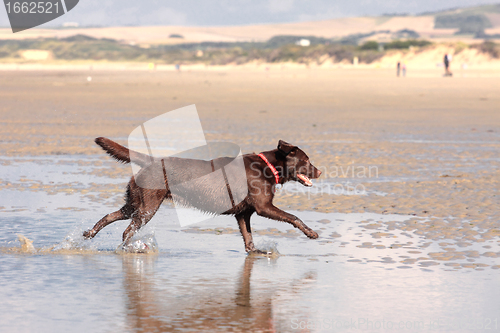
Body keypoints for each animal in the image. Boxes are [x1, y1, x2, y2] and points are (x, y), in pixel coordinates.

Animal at [83, 137, 320, 252]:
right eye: (306, 160)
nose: (319, 171)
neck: (268, 167)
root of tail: (151, 161)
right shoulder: (263, 207)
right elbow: (294, 217)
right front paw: (311, 233)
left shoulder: (243, 214)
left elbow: (248, 238)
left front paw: (255, 253)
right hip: (148, 206)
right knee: (127, 230)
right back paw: (129, 249)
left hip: (135, 202)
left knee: (111, 216)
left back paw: (89, 234)